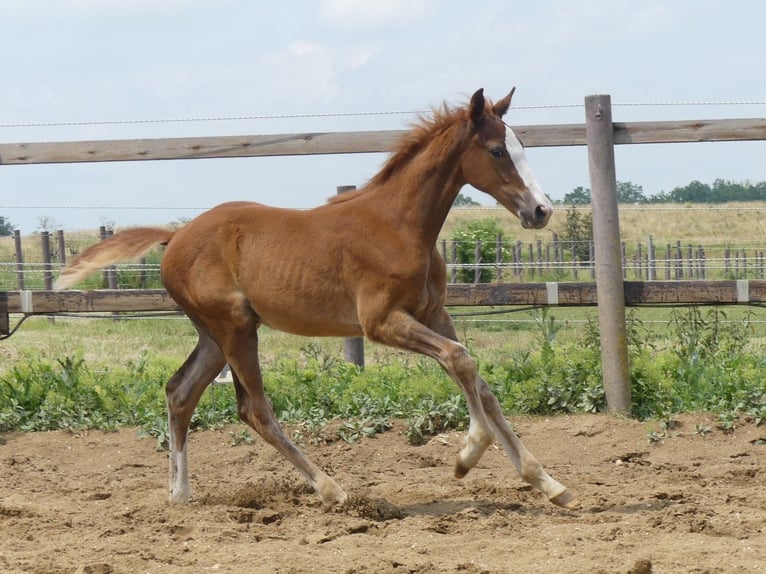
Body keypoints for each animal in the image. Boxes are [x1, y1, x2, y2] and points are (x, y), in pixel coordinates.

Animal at [55, 88, 576, 510]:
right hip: (234, 327)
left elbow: (478, 381)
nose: (541, 210)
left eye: (521, 146)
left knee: (180, 392)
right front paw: (467, 455)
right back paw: (330, 489)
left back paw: (180, 494)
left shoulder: (434, 313)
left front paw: (547, 482)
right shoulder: (381, 322)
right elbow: (461, 360)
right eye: (497, 150)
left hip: (216, 333)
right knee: (253, 409)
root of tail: (175, 235)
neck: (400, 225)